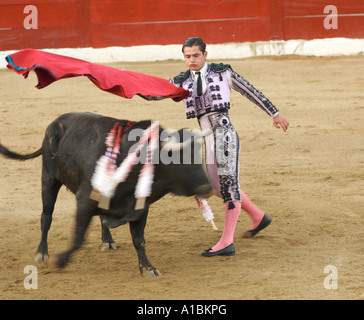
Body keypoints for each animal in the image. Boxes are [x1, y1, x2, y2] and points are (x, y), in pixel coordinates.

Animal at [0, 112, 212, 276]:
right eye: (179, 158)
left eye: (198, 156)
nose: (208, 188)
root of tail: (54, 123)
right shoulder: (85, 200)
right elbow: (78, 237)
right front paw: (60, 261)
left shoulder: (140, 207)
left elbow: (139, 240)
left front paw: (148, 268)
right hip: (49, 179)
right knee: (46, 216)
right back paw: (42, 253)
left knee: (102, 218)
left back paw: (107, 240)